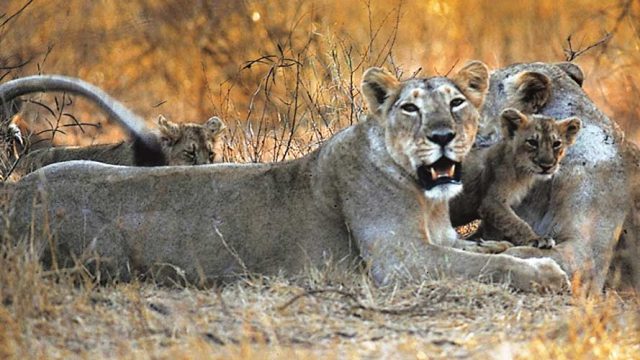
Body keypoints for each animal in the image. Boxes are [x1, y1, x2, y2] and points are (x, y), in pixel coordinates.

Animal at [2, 64, 568, 292]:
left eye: (455, 103)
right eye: (410, 108)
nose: (444, 135)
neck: (424, 196)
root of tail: (16, 197)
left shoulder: (443, 240)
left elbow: (495, 250)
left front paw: (541, 253)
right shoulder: (398, 262)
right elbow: (488, 266)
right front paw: (545, 273)